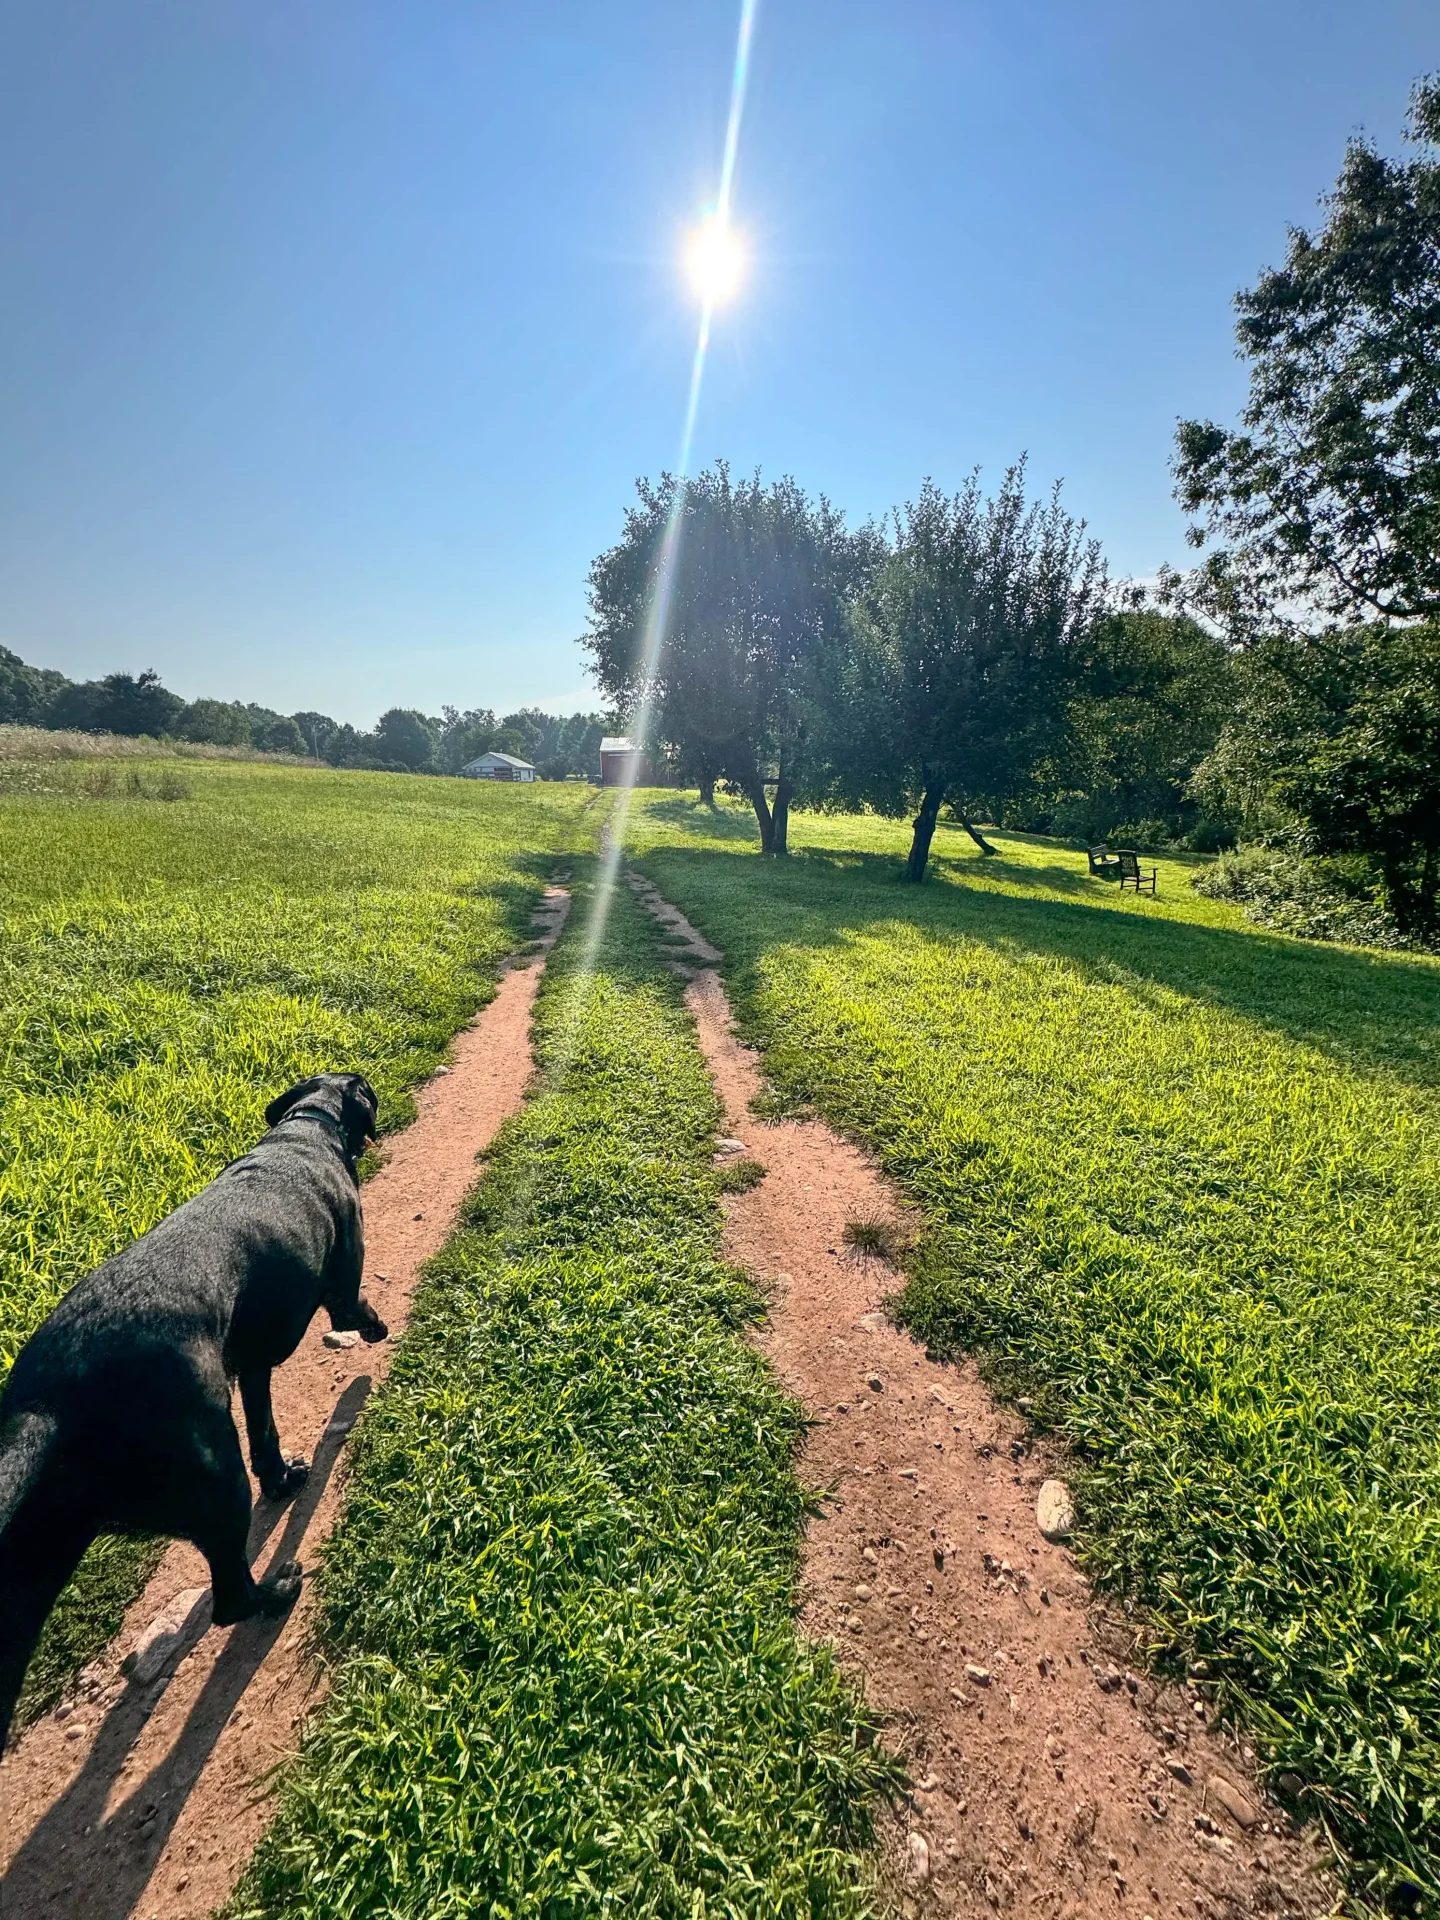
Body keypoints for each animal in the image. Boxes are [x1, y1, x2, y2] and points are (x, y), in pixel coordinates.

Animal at [0, 1075, 389, 1751]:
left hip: (34, 1572)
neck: (306, 1128)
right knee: (229, 1595)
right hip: (215, 1474)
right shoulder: (341, 1286)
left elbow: (265, 1428)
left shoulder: (253, 1365)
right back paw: (279, 1591)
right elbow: (356, 1311)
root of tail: (45, 1405)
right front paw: (377, 1332)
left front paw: (283, 1478)